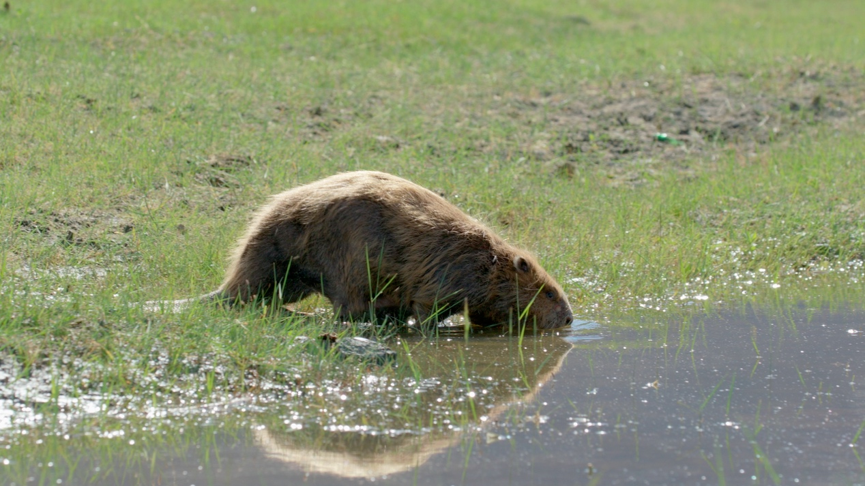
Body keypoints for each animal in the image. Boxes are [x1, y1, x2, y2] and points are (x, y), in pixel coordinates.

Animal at [209, 172, 572, 330]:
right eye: (550, 293)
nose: (569, 318)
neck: (488, 260)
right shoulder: (449, 274)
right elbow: (427, 306)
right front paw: (423, 326)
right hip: (343, 256)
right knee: (348, 306)